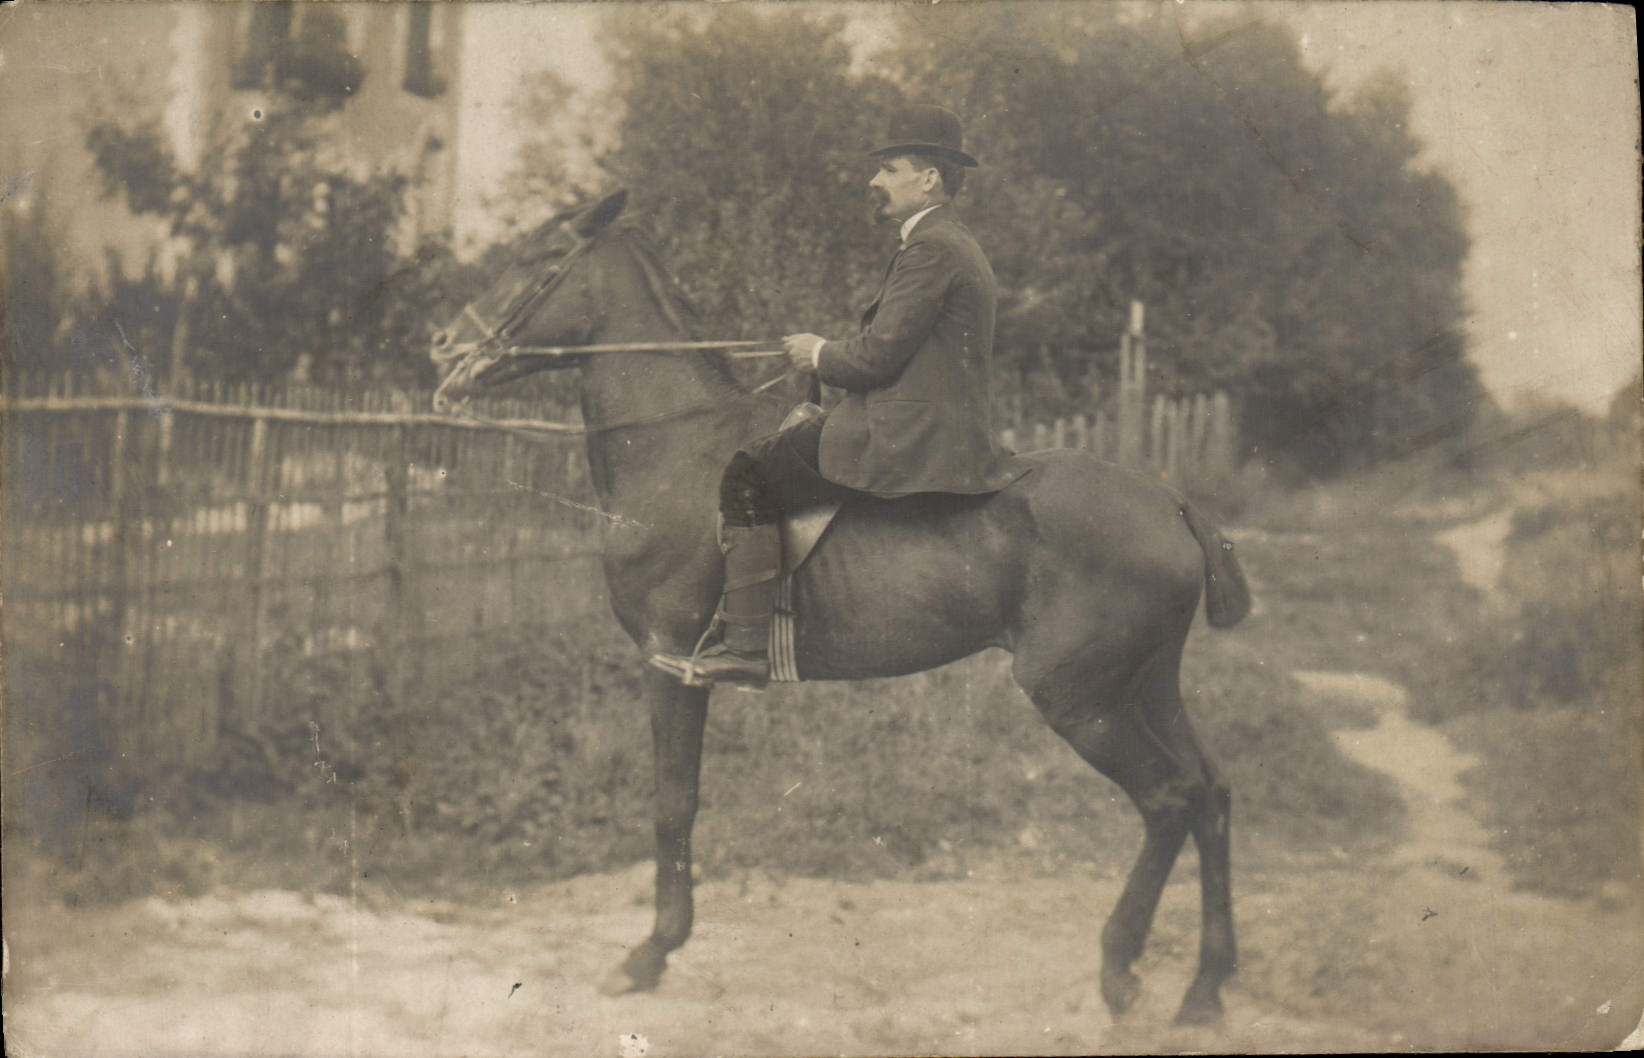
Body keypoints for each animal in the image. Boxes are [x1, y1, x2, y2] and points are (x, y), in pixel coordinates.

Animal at [430, 189, 1251, 1025]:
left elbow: (673, 804)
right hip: (1145, 685)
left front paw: (652, 952)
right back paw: (1205, 988)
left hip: (1081, 699)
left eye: (535, 259)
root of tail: (1171, 501)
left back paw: (1120, 968)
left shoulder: (671, 662)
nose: (442, 344)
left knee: (1169, 800)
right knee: (1210, 793)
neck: (676, 447)